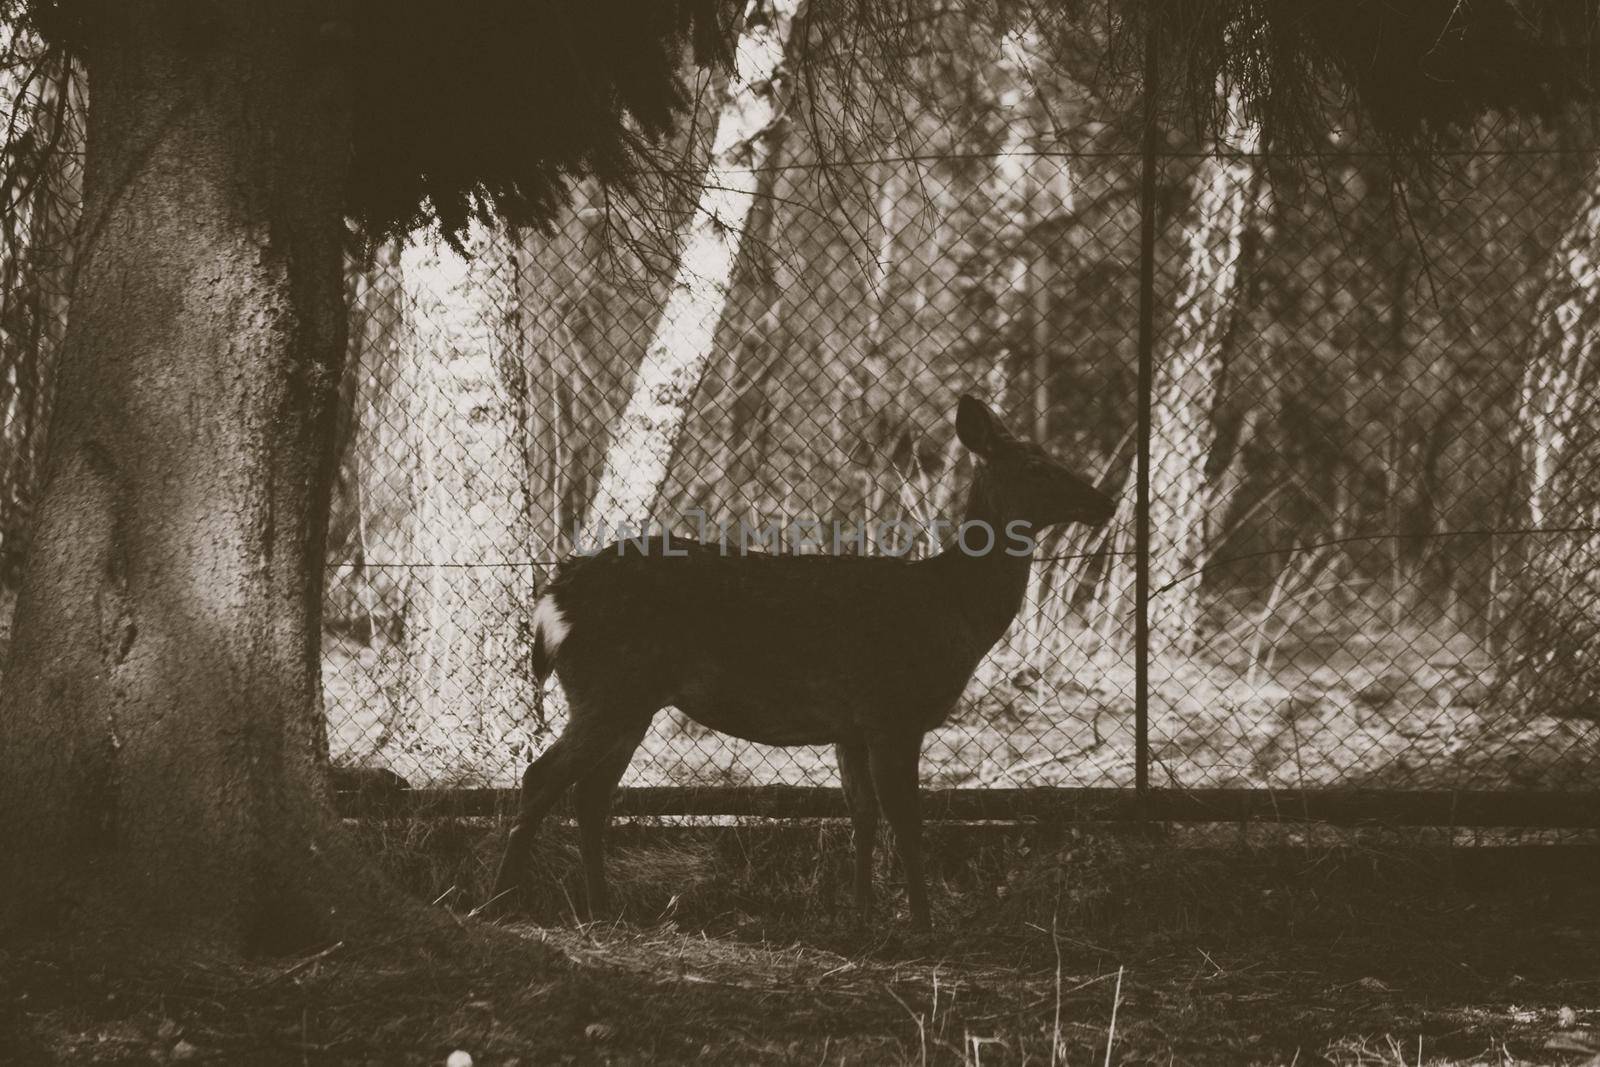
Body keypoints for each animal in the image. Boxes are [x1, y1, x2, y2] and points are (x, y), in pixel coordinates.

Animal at [492, 396, 1120, 927]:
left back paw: (601, 910)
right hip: (611, 687)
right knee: (541, 776)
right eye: (1035, 465)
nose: (1106, 501)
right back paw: (503, 903)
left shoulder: (852, 726)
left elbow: (862, 816)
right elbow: (907, 820)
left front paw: (863, 917)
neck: (952, 608)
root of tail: (555, 599)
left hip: (627, 700)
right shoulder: (894, 711)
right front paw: (921, 924)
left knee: (589, 796)